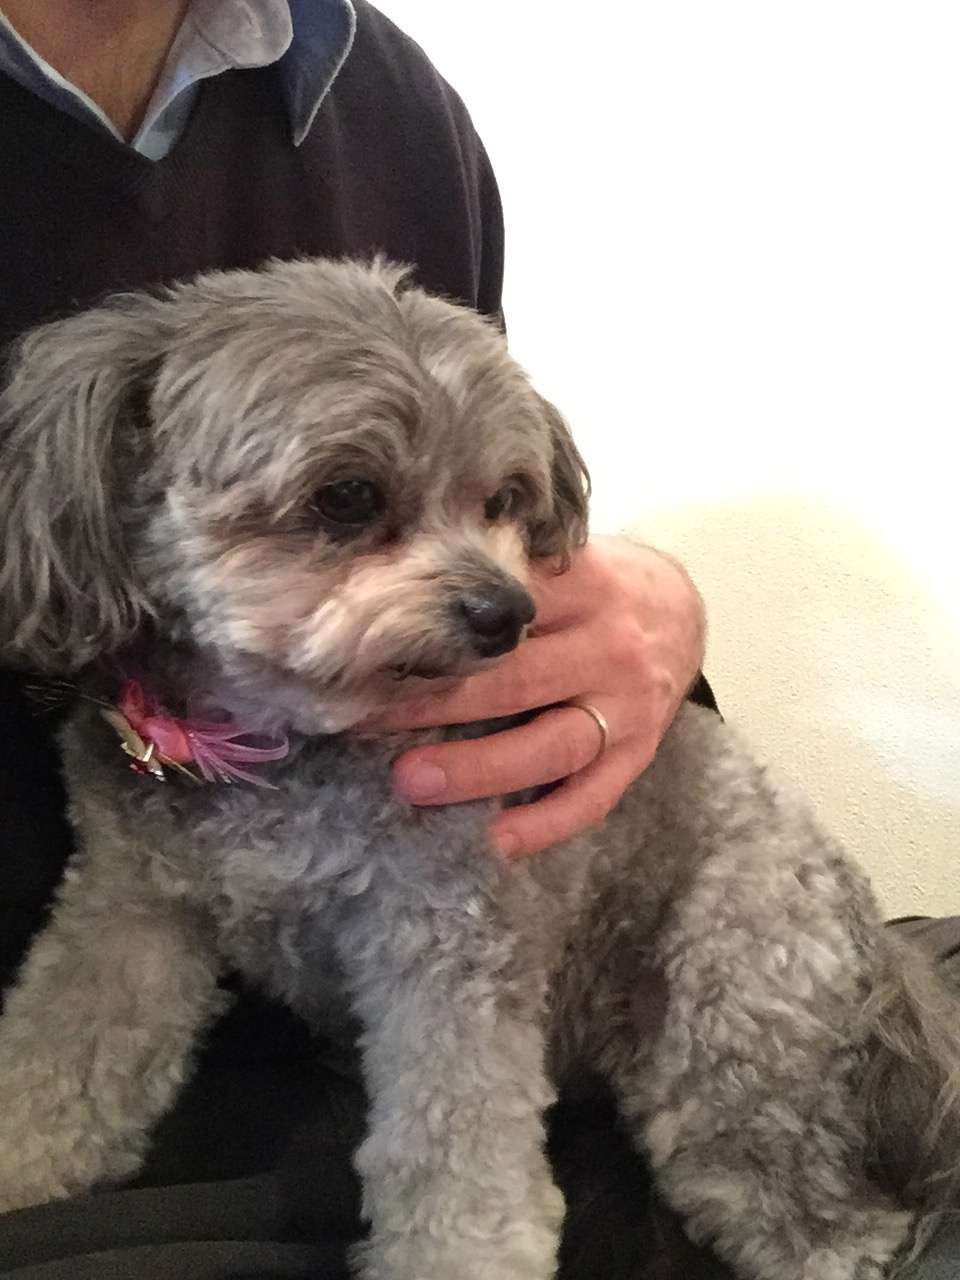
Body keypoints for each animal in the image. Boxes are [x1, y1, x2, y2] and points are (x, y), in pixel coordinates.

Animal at [0, 257, 958, 1280]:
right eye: (347, 496)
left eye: (502, 498)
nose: (508, 612)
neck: (280, 750)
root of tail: (877, 943)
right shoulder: (128, 909)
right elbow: (64, 1061)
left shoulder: (445, 943)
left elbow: (452, 1151)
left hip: (730, 1030)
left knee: (834, 1227)